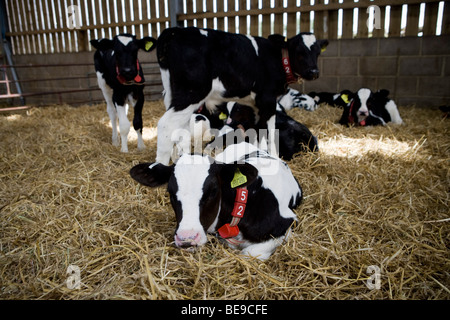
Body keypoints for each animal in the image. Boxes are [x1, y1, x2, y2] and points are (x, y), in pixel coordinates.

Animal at [155, 26, 326, 165]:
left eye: (317, 52)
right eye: (299, 51)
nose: (314, 72)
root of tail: (176, 31)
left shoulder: (255, 106)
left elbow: (258, 132)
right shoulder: (268, 99)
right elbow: (270, 133)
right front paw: (274, 158)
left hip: (172, 94)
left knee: (179, 129)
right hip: (192, 93)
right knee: (166, 125)